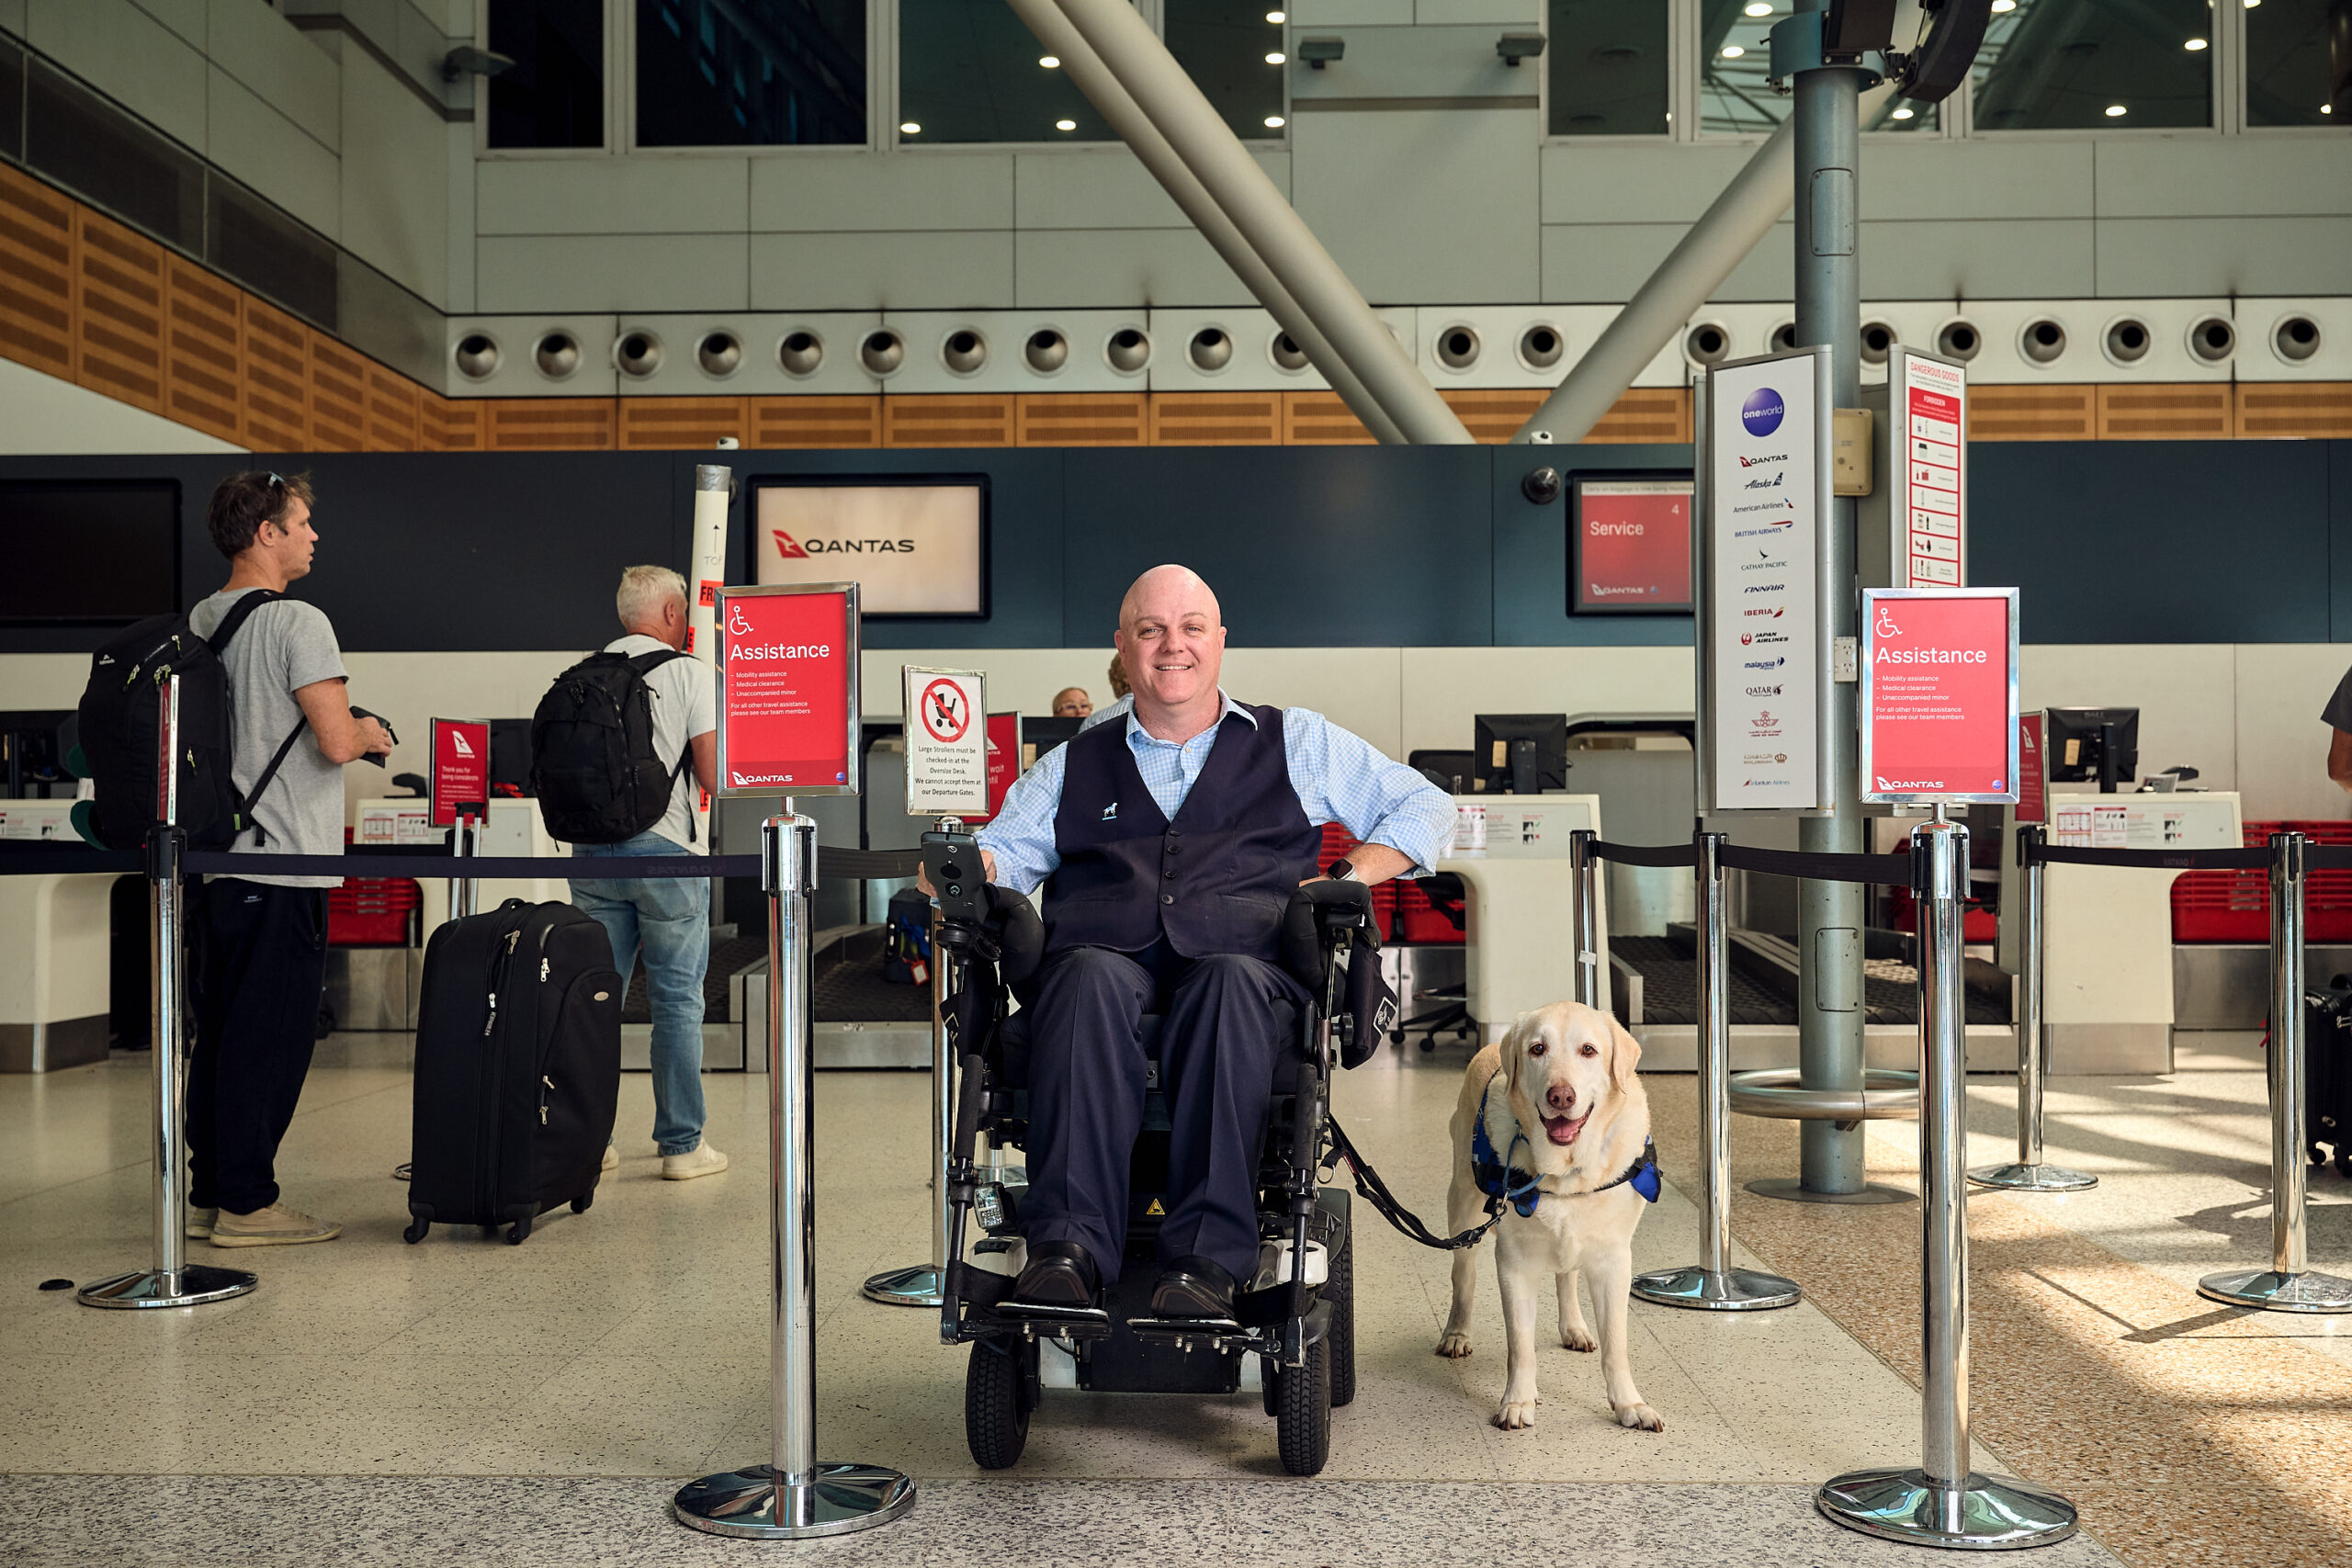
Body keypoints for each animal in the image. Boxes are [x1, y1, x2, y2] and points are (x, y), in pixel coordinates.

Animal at [1420, 1006, 1665, 1438]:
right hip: (1462, 1204)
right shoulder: (1514, 1265)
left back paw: (1575, 1328)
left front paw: (1630, 1405)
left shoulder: (1614, 1261)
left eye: (1588, 1050)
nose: (1561, 1096)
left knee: (1567, 1276)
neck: (1566, 1173)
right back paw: (1456, 1333)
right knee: (1463, 1275)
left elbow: (1616, 1345)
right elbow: (1520, 1345)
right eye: (1537, 1049)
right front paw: (1518, 1401)